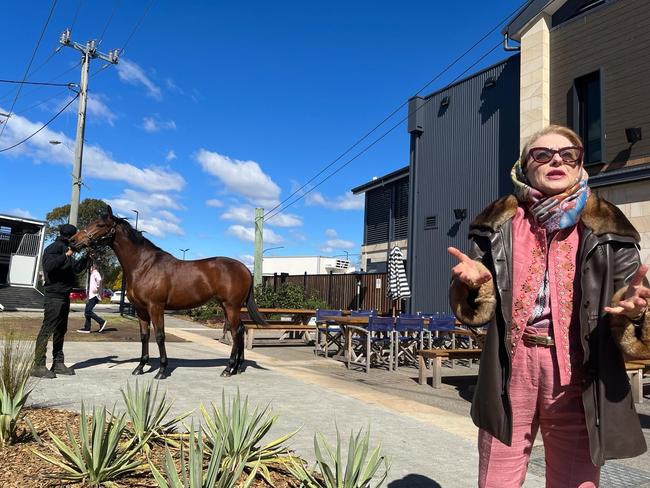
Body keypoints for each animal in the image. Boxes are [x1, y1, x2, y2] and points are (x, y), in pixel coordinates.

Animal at [69, 205, 266, 378]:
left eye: (100, 225)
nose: (73, 241)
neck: (143, 265)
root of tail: (245, 269)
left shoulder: (155, 307)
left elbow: (159, 336)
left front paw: (162, 371)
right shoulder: (141, 309)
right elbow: (144, 336)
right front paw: (140, 367)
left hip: (231, 306)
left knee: (235, 333)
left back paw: (228, 369)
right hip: (227, 307)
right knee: (240, 330)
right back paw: (237, 368)